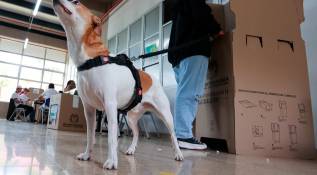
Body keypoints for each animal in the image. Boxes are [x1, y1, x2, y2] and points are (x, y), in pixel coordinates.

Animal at [52, 0, 183, 170]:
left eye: (76, 2)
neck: (90, 60)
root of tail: (151, 77)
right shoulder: (89, 109)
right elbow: (90, 136)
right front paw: (87, 155)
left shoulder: (109, 106)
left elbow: (112, 139)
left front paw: (112, 161)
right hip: (131, 118)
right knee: (137, 133)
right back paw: (131, 149)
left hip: (165, 115)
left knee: (173, 135)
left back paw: (178, 153)